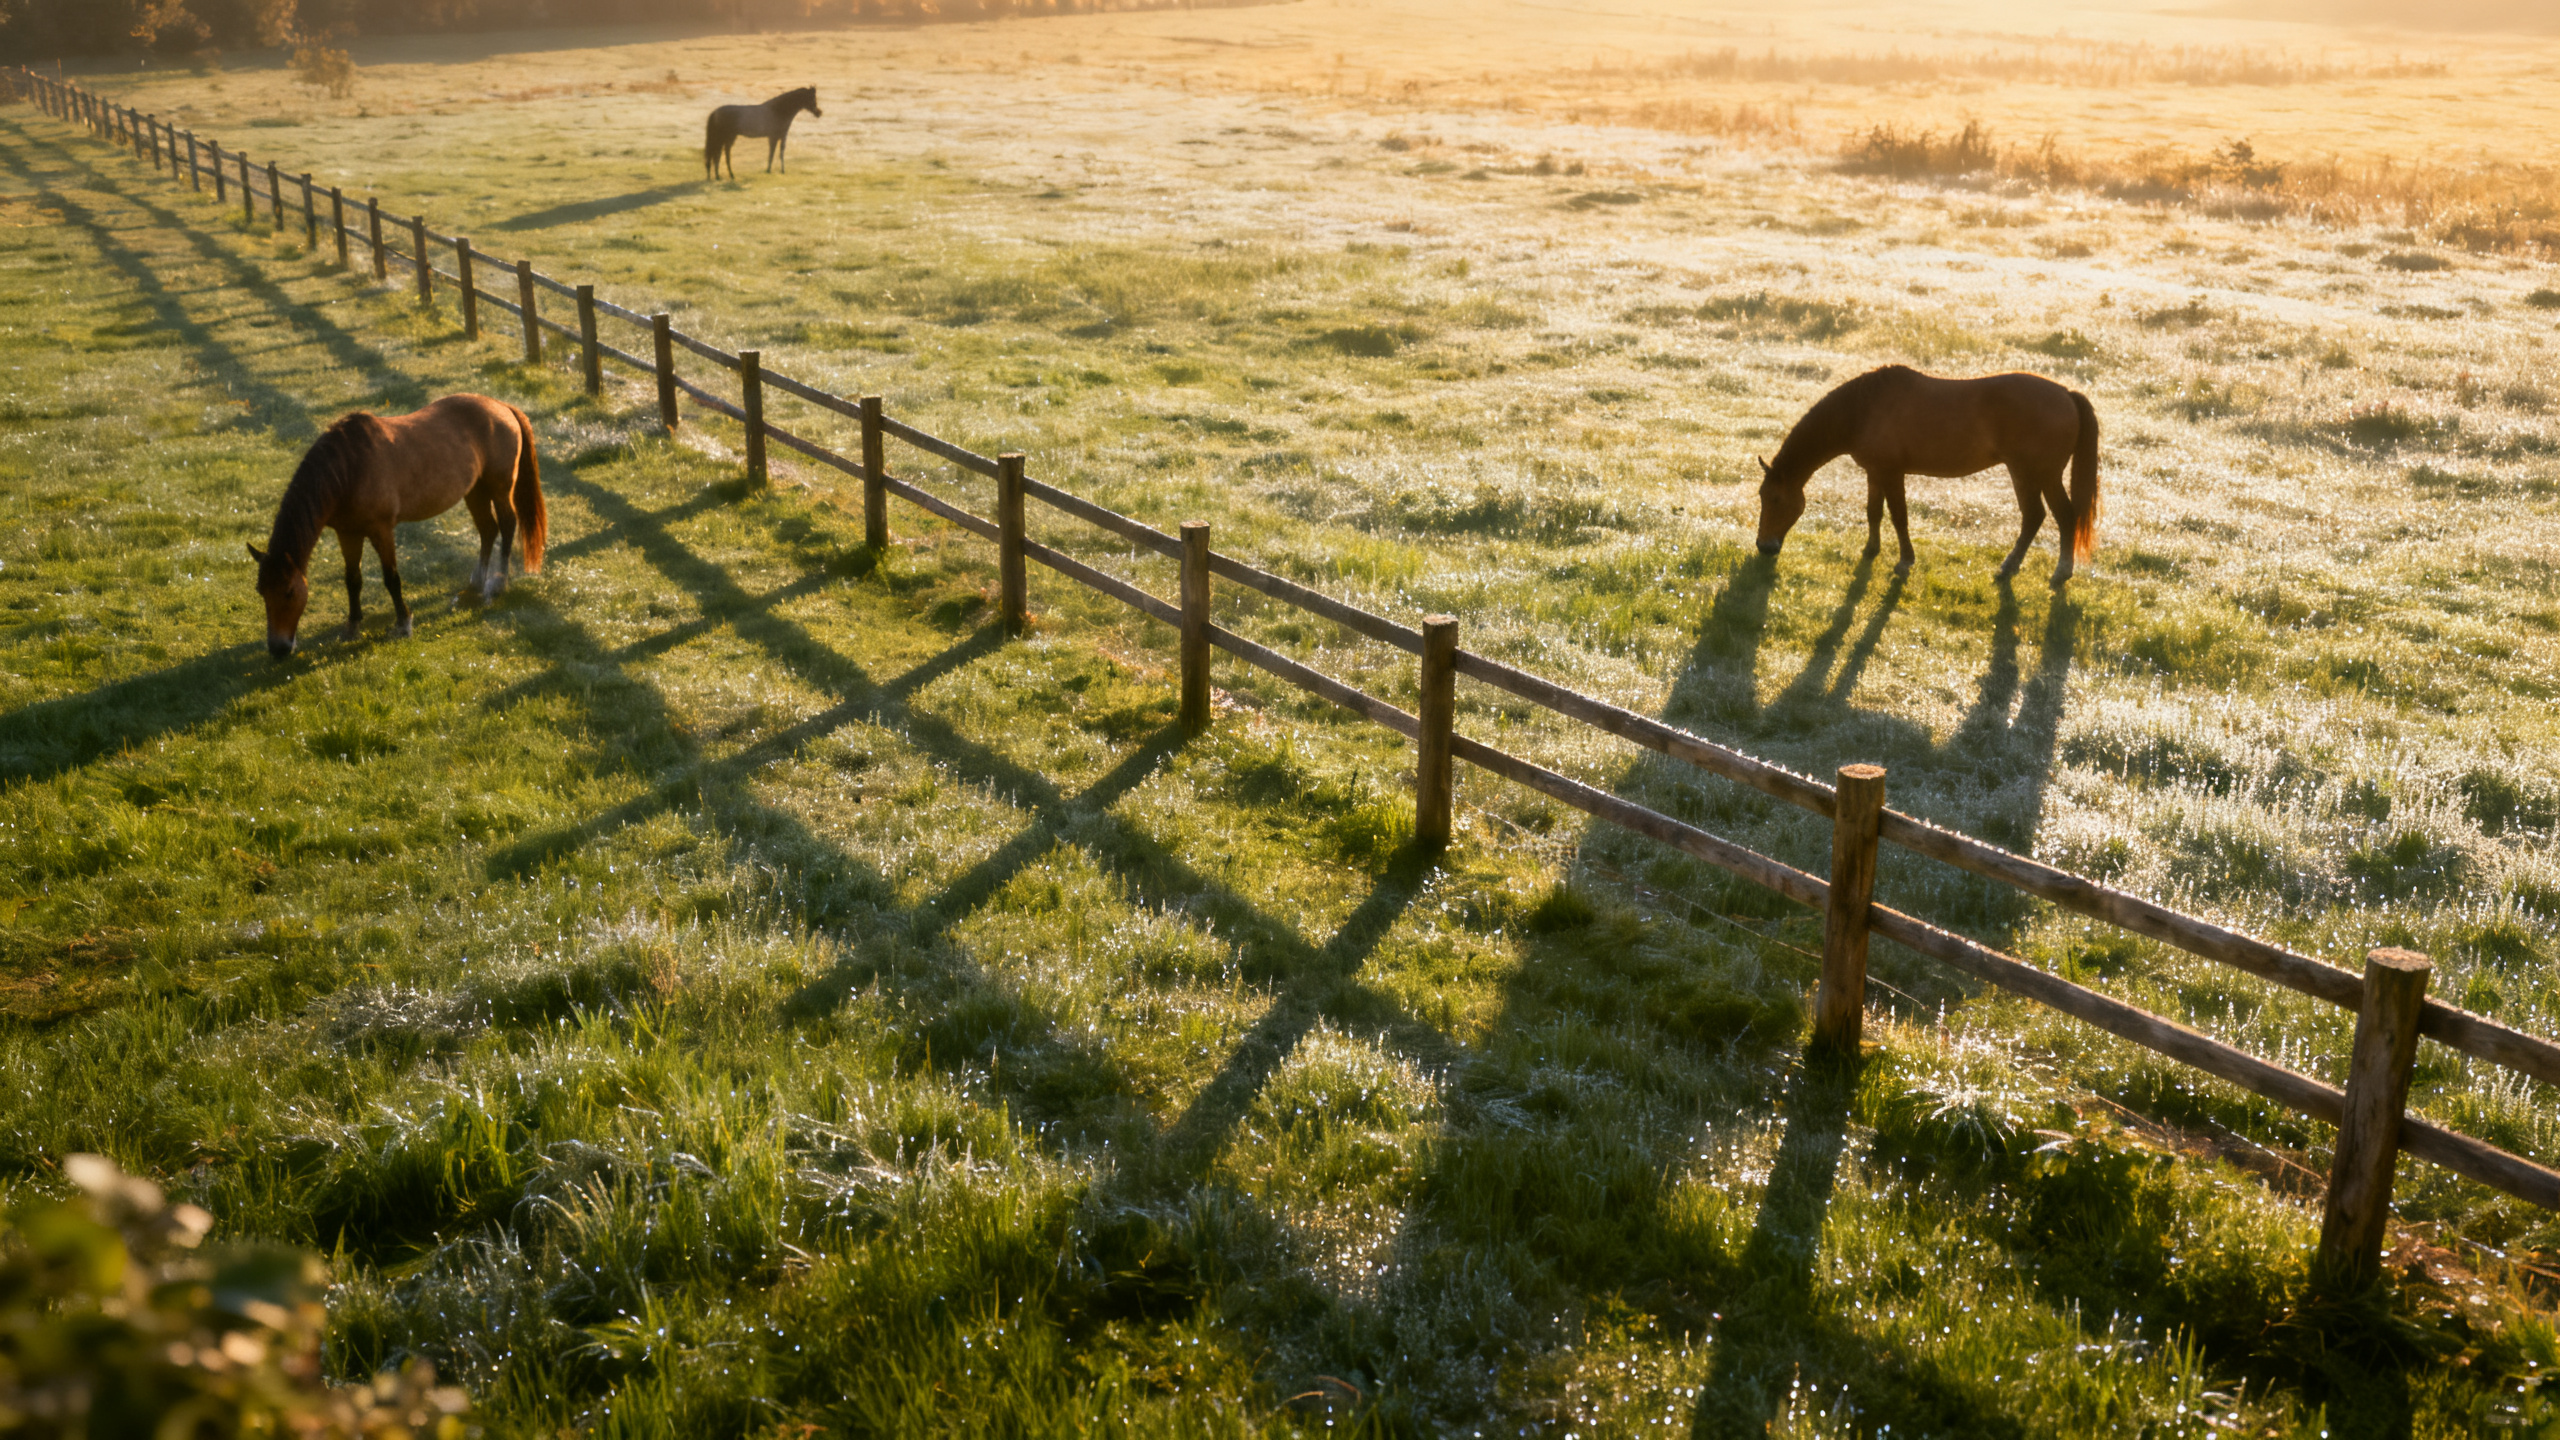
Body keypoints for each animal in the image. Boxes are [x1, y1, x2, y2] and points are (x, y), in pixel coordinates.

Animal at [247, 394, 546, 659]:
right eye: (260, 591)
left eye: (289, 591)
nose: (278, 649)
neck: (349, 469)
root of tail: (502, 406)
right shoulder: (348, 533)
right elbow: (352, 580)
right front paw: (352, 626)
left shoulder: (382, 531)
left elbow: (391, 579)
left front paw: (403, 623)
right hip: (474, 490)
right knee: (488, 530)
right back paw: (477, 581)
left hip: (499, 487)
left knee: (507, 525)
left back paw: (499, 582)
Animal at [1752, 366, 2101, 588]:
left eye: (1776, 499)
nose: (1764, 547)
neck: (1864, 410)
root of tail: (2066, 394)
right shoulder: (1875, 473)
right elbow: (1874, 512)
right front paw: (1871, 550)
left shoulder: (1892, 473)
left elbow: (1899, 517)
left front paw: (1905, 561)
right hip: (2025, 474)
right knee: (2034, 517)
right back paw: (2010, 567)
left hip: (2041, 474)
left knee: (2063, 516)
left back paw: (2059, 573)